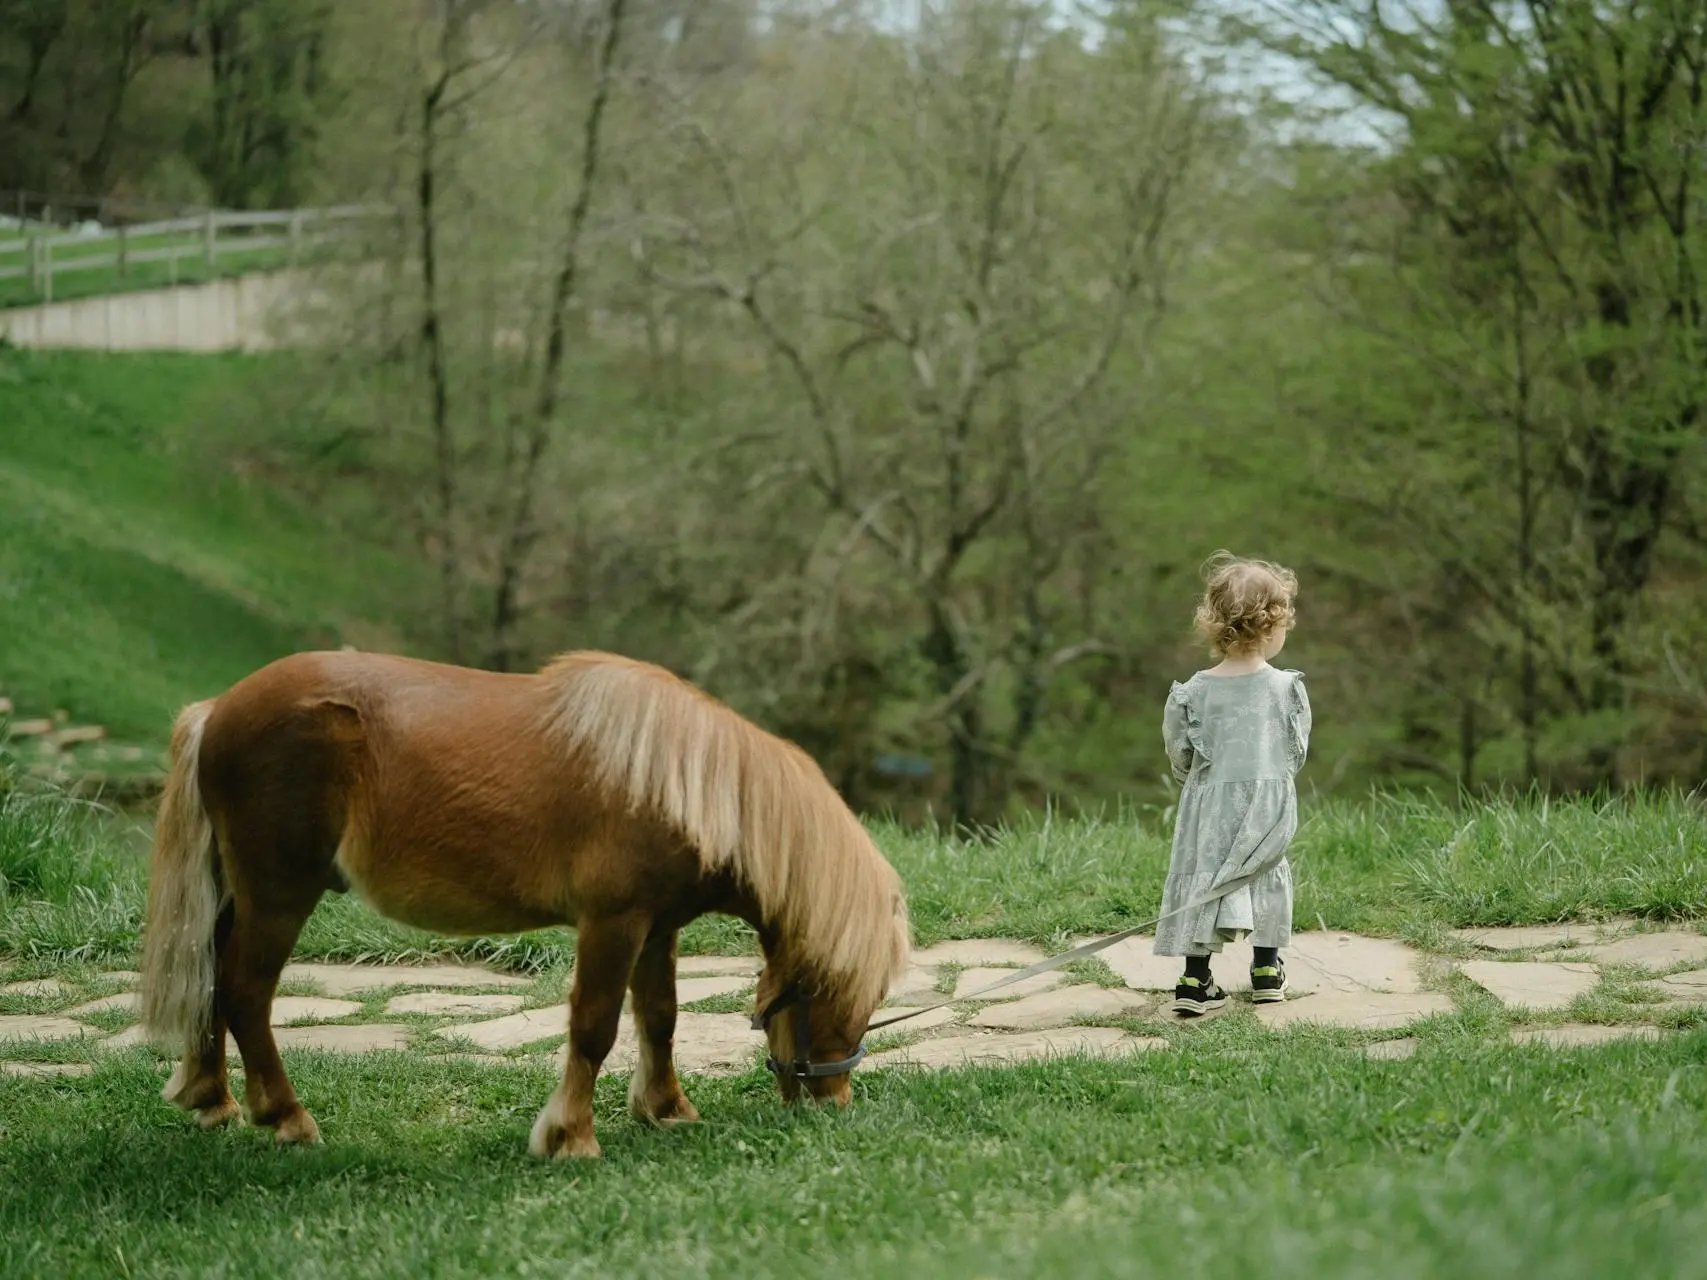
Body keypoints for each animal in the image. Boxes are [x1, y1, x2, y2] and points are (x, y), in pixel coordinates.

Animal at [134, 651, 914, 1160]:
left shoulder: (656, 928)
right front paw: (571, 1136)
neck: (680, 780)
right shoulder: (613, 924)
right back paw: (286, 1117)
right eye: (844, 994)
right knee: (244, 993)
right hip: (278, 896)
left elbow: (659, 1020)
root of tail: (218, 711)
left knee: (210, 979)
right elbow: (594, 1028)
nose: (833, 1099)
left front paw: (665, 1110)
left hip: (239, 896)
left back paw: (213, 1097)